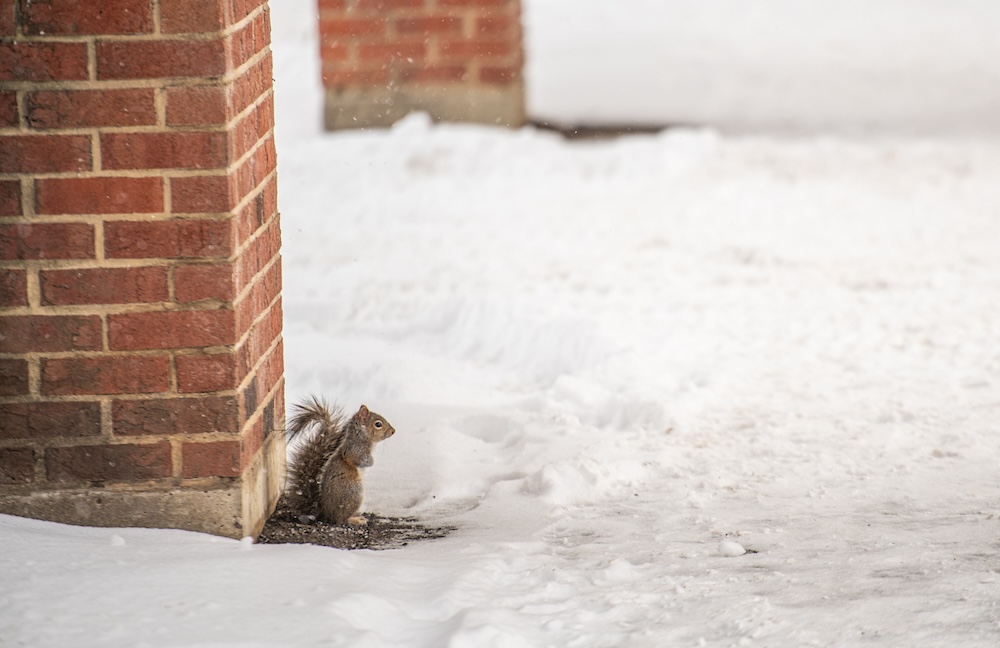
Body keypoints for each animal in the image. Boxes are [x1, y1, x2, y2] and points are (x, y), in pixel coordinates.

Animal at [285, 397, 395, 526]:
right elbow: (360, 460)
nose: (393, 431)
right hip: (354, 491)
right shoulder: (355, 450)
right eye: (378, 424)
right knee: (341, 519)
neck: (361, 436)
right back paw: (355, 520)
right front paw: (371, 461)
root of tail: (325, 513)